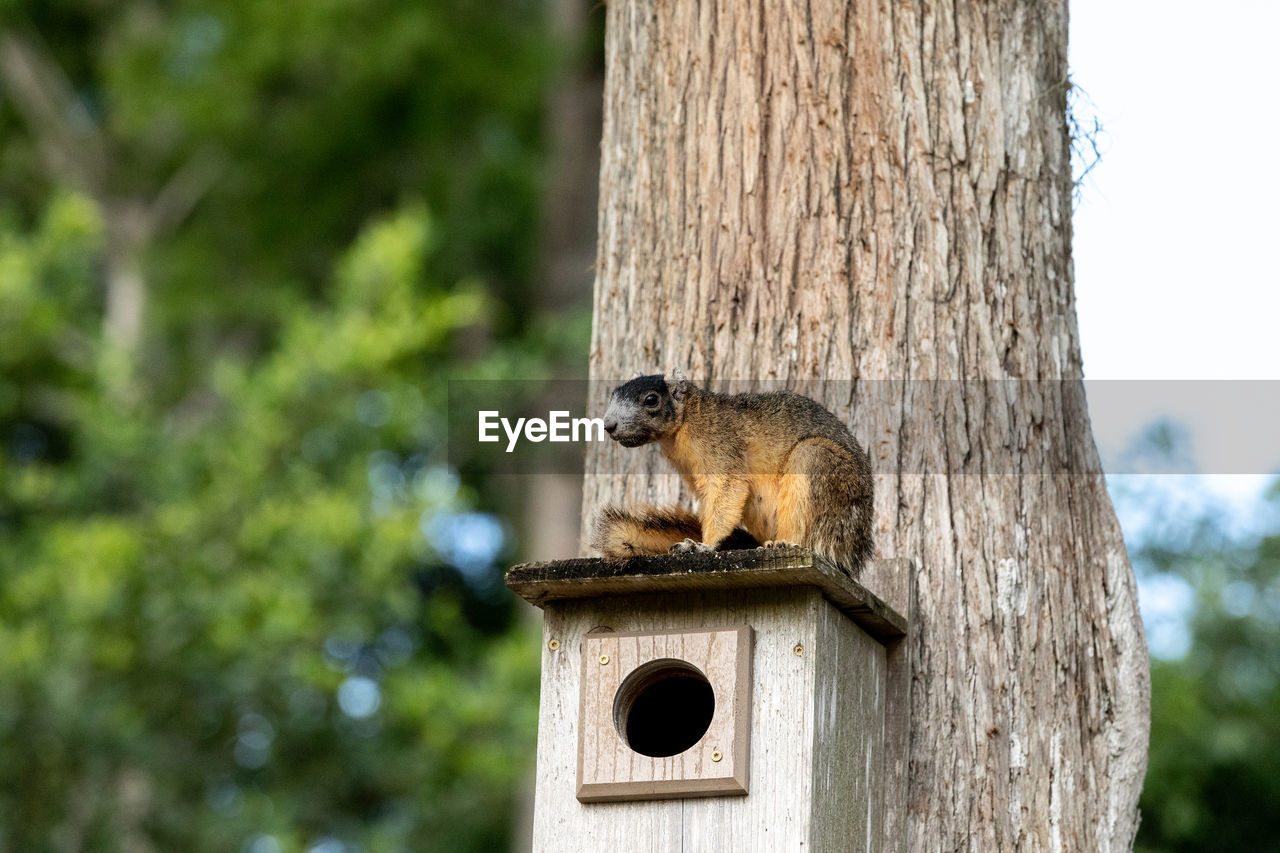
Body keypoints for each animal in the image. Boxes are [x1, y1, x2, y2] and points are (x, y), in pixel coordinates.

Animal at [591, 366, 875, 571]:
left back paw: (783, 543)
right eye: (613, 396)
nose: (609, 425)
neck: (689, 418)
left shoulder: (722, 447)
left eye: (651, 400)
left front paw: (702, 546)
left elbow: (727, 491)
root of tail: (854, 552)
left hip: (819, 466)